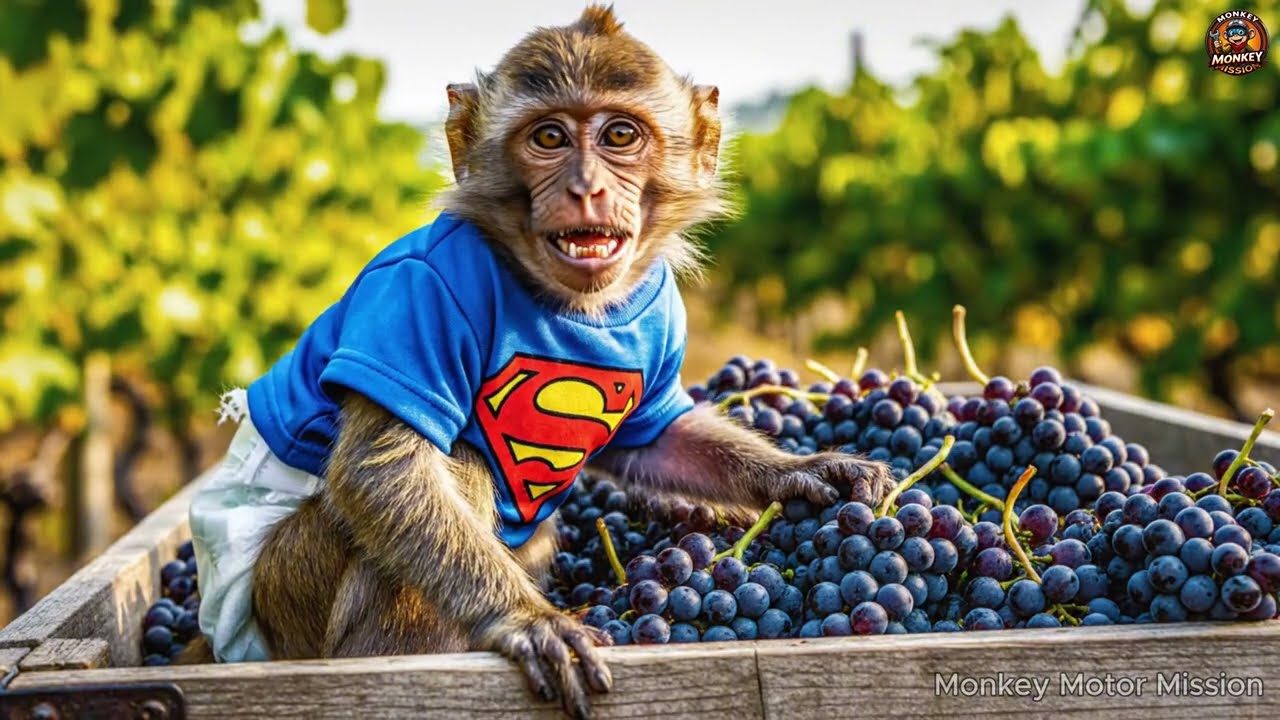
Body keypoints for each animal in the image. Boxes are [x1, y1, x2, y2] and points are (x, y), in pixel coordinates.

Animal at [185, 6, 895, 719]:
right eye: (549, 137)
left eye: (619, 135)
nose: (586, 188)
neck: (567, 302)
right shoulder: (419, 289)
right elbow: (380, 469)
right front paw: (526, 620)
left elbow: (657, 442)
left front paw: (800, 472)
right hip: (287, 591)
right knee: (458, 467)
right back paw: (395, 667)